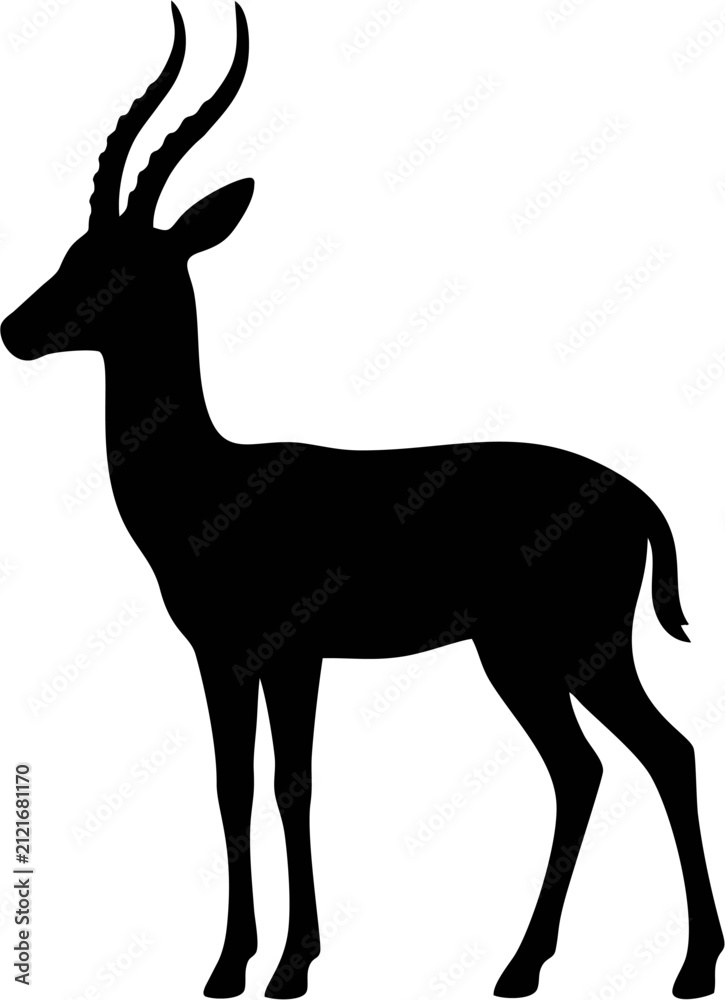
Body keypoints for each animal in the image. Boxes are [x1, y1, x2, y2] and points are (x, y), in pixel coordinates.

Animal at [2, 4, 722, 998]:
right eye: (76, 250)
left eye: (125, 264)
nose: (15, 330)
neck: (209, 484)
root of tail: (639, 500)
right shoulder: (244, 659)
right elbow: (244, 787)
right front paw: (253, 964)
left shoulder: (278, 654)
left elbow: (278, 787)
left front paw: (267, 967)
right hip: (532, 658)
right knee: (596, 768)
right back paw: (529, 968)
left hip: (567, 650)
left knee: (653, 756)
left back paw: (677, 969)